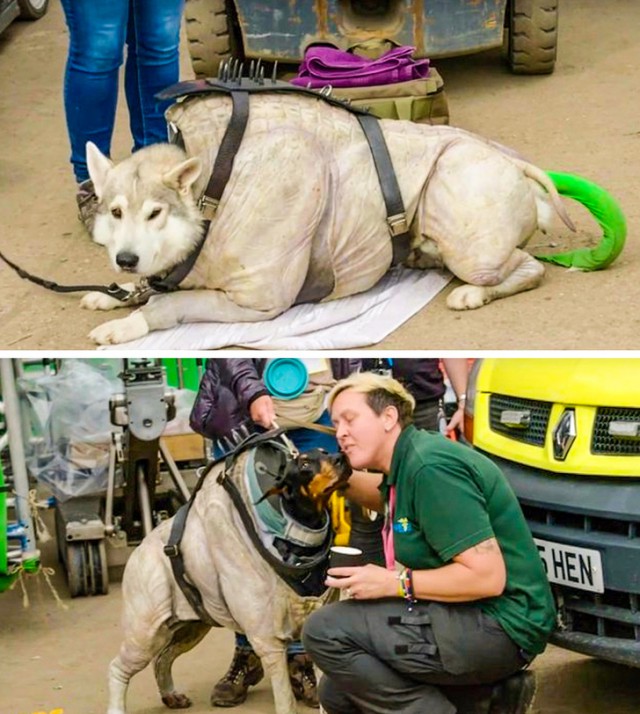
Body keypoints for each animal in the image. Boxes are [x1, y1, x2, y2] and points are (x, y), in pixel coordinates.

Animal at [81, 90, 576, 344]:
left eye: (156, 213)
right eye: (115, 211)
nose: (125, 259)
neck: (208, 199)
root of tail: (517, 164)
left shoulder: (260, 301)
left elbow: (169, 304)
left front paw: (123, 326)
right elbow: (147, 288)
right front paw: (111, 297)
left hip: (467, 219)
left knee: (522, 268)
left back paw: (472, 294)